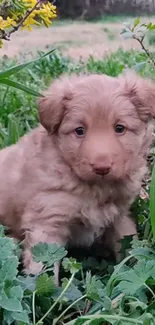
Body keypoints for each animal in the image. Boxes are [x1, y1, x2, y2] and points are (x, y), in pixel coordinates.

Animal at [0, 71, 154, 278]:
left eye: (120, 128)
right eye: (79, 131)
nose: (102, 167)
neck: (95, 189)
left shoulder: (119, 216)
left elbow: (129, 248)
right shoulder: (47, 222)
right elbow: (43, 268)